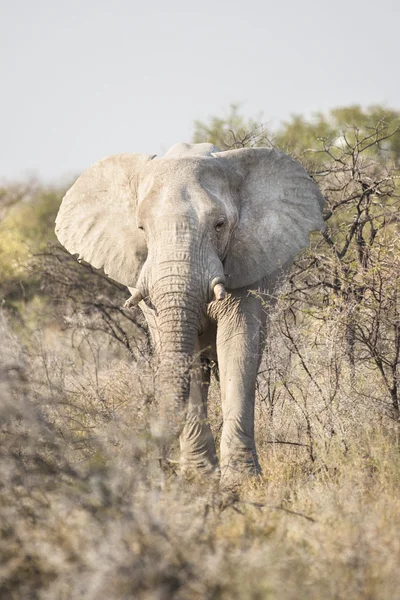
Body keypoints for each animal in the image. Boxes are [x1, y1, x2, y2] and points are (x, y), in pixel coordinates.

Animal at [55, 141, 324, 482]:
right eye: (141, 228)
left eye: (219, 225)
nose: (154, 459)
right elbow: (186, 356)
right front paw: (199, 478)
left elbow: (237, 345)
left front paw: (241, 480)